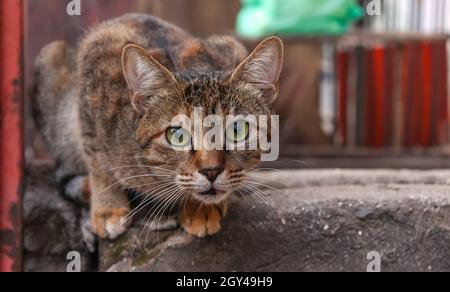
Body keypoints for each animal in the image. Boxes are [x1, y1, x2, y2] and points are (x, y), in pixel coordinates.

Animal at [33, 12, 284, 238]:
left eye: (237, 131)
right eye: (178, 135)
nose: (211, 171)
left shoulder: (229, 45)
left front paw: (201, 209)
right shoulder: (96, 56)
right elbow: (98, 161)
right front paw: (108, 209)